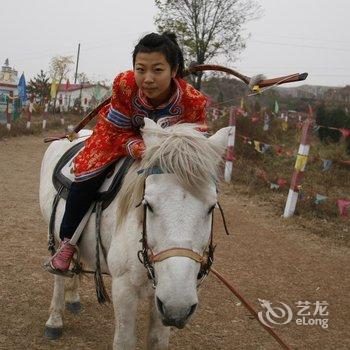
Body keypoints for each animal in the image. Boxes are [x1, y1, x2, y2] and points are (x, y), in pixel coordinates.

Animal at [39, 119, 231, 348]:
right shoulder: (125, 290)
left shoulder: (162, 297)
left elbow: (157, 340)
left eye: (211, 207)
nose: (178, 306)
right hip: (56, 235)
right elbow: (124, 341)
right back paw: (54, 320)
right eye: (148, 204)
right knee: (60, 273)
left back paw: (74, 298)